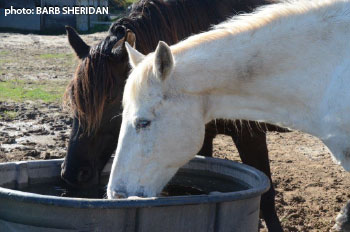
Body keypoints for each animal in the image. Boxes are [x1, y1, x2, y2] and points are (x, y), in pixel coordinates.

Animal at [62, 0, 288, 230]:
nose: (72, 174)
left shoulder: (250, 136)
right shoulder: (203, 136)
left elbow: (266, 198)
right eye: (73, 97)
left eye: (110, 98)